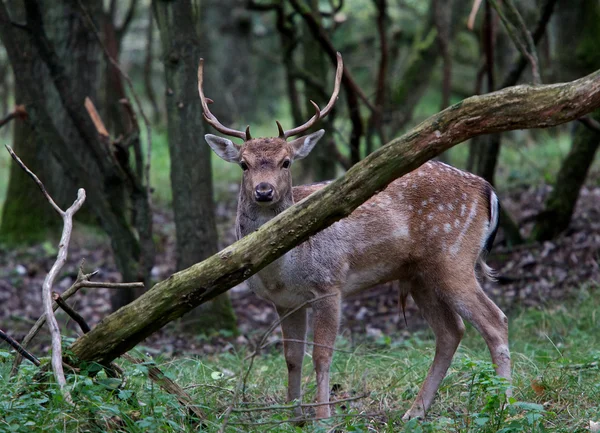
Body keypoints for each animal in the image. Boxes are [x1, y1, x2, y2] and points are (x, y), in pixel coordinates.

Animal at [198, 53, 510, 418]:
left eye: (286, 162)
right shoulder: (285, 302)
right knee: (450, 331)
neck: (281, 270)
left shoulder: (329, 283)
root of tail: (487, 189)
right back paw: (414, 412)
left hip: (453, 256)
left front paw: (322, 417)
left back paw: (506, 406)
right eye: (244, 164)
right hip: (420, 273)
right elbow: (291, 358)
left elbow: (321, 356)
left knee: (495, 321)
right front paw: (292, 415)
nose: (264, 191)